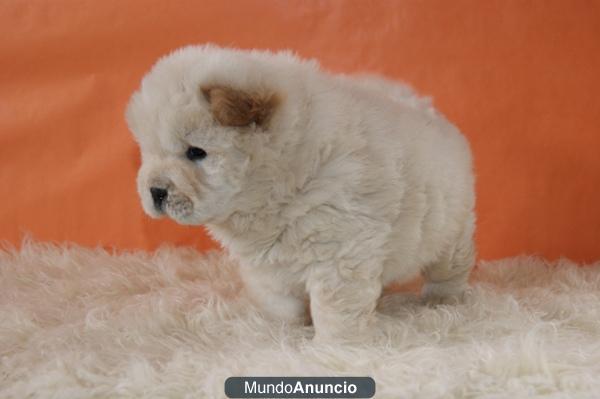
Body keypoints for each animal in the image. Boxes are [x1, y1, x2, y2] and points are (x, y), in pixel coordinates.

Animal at [125, 44, 474, 344]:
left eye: (196, 152)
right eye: (148, 153)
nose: (155, 190)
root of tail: (427, 109)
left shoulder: (340, 254)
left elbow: (335, 310)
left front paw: (336, 347)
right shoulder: (267, 267)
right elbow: (281, 305)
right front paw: (282, 335)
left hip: (451, 235)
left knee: (449, 271)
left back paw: (441, 301)